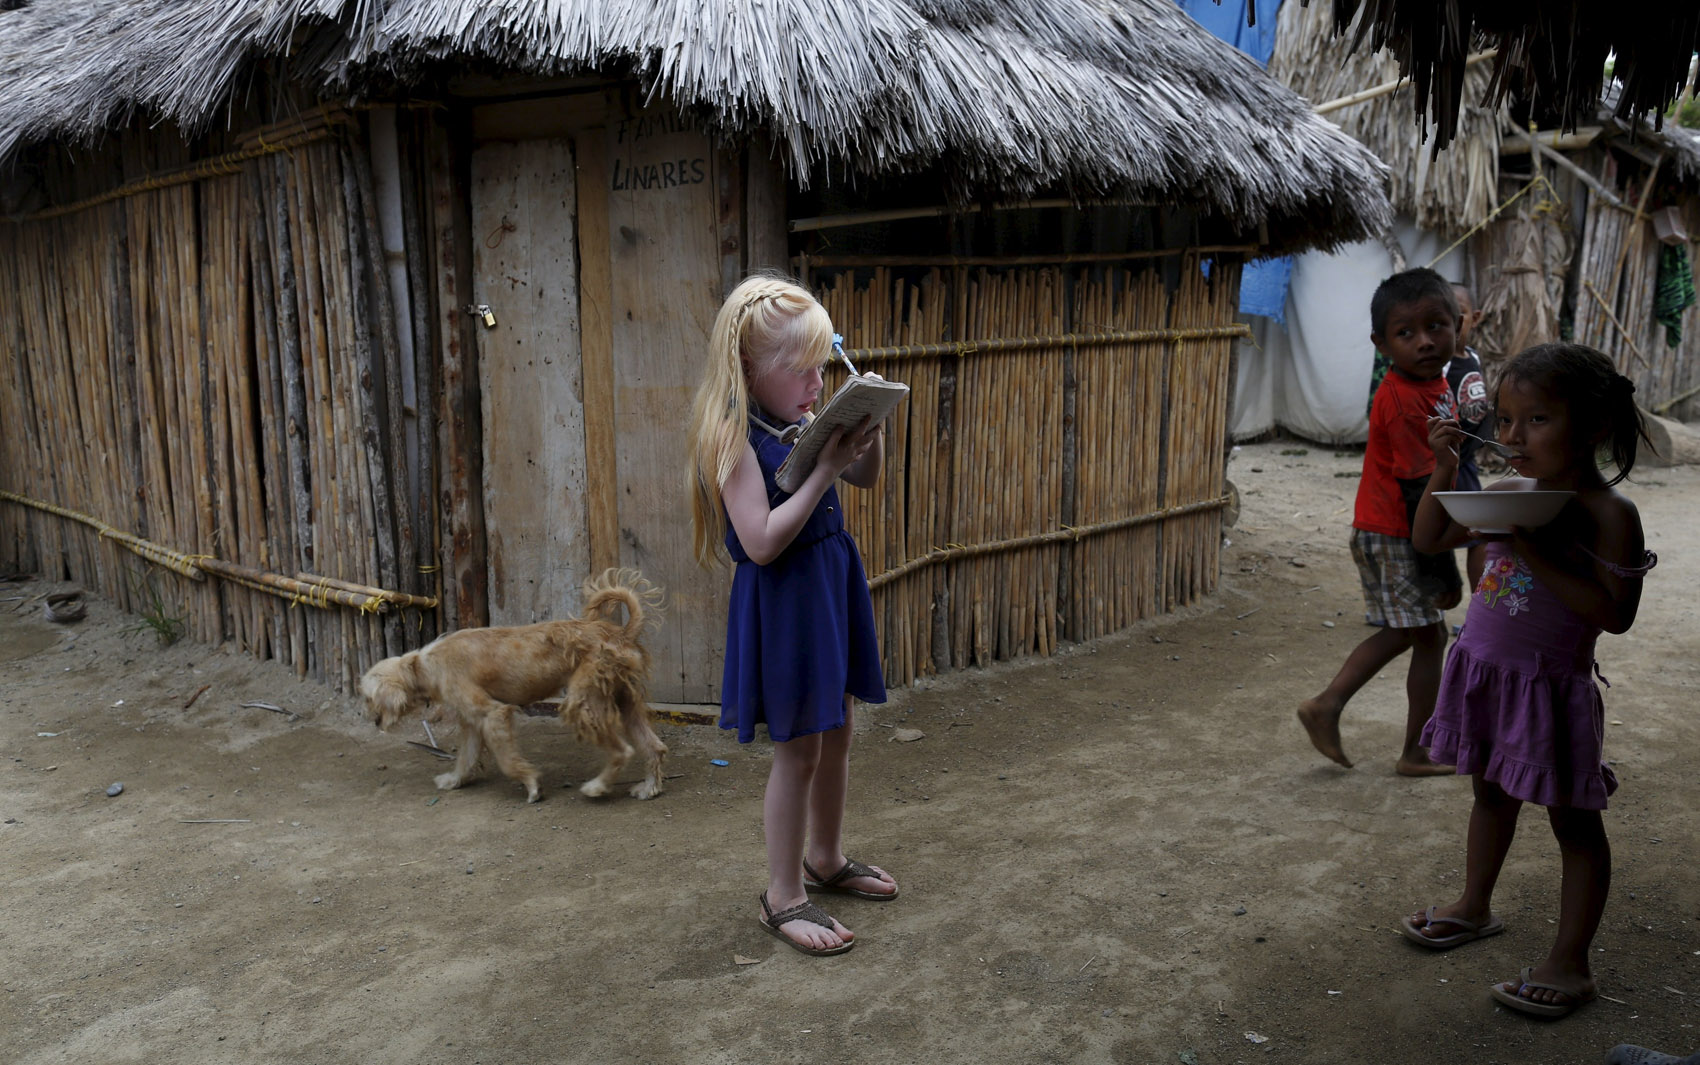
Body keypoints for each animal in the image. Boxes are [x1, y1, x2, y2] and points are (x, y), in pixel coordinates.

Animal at [358, 568, 663, 799]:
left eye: (368, 698)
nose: (368, 718)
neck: (421, 665)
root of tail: (622, 633)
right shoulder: (472, 723)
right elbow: (466, 757)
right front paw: (454, 780)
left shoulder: (493, 714)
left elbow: (507, 761)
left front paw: (532, 784)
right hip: (626, 701)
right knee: (655, 747)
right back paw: (649, 788)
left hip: (582, 702)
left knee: (623, 751)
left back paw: (598, 786)